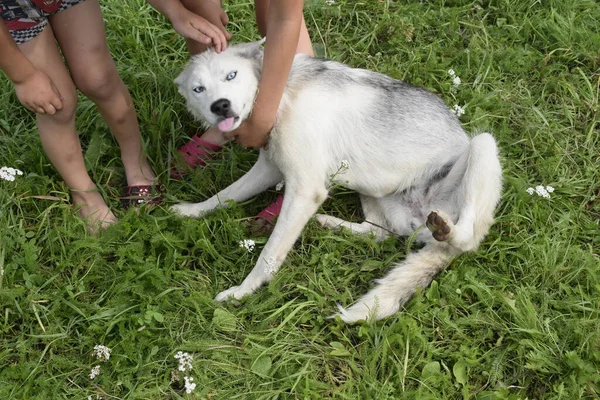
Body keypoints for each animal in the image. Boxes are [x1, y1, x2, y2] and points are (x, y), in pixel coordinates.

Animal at [172, 39, 502, 324]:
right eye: (199, 89)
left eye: (231, 75)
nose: (220, 106)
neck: (280, 92)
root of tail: (431, 233)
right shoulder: (269, 169)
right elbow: (223, 196)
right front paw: (190, 211)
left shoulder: (304, 189)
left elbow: (268, 255)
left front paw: (243, 291)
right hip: (369, 186)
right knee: (379, 233)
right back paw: (328, 223)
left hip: (483, 145)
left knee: (467, 235)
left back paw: (447, 229)